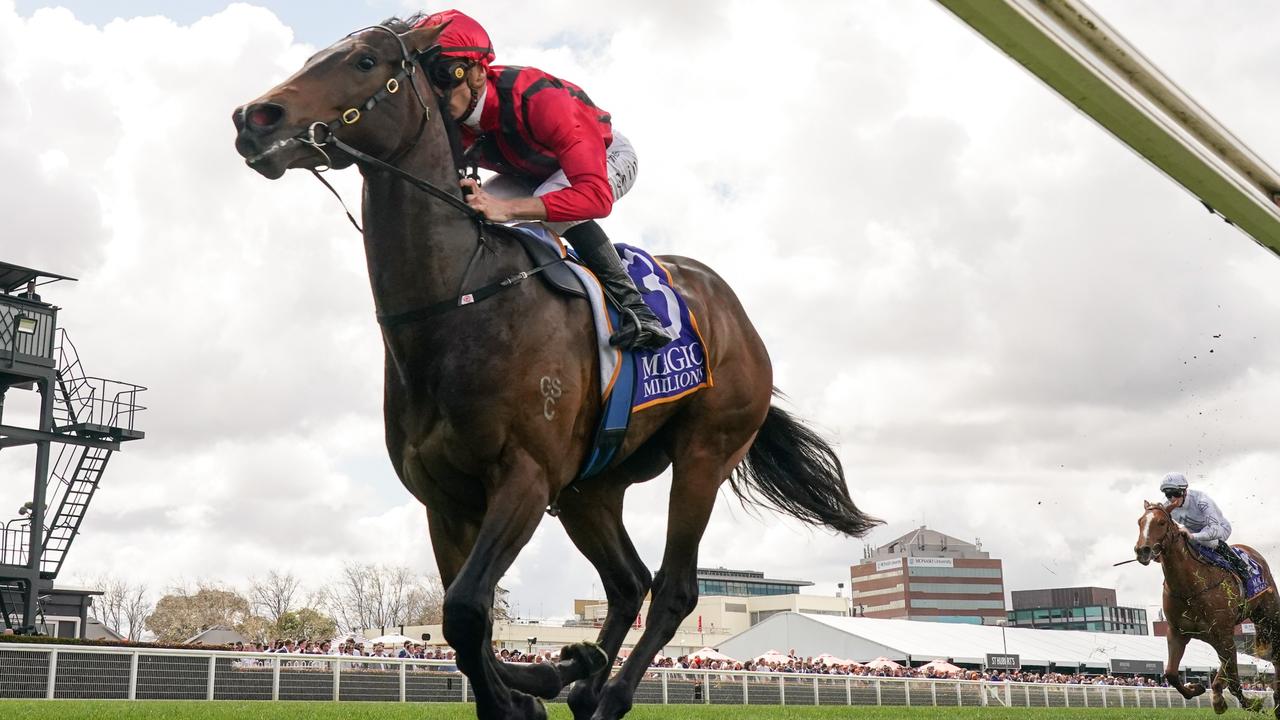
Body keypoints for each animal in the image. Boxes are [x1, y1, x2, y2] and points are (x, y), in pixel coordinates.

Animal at [232, 16, 880, 717]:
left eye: (364, 61)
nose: (254, 117)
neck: (459, 303)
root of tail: (736, 313)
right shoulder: (445, 498)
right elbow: (466, 623)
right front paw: (541, 680)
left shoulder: (525, 477)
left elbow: (466, 609)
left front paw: (536, 685)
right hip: (590, 488)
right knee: (626, 583)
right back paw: (585, 676)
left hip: (705, 452)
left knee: (673, 589)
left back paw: (609, 690)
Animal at [1136, 499, 1274, 712]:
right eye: (1140, 522)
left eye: (1161, 522)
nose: (1142, 550)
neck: (1189, 587)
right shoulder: (1177, 632)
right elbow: (1171, 673)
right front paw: (1197, 688)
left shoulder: (1223, 633)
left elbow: (1234, 680)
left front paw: (1252, 703)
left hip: (1267, 612)